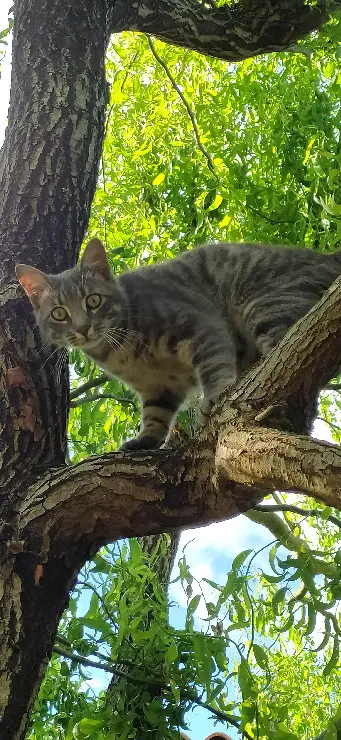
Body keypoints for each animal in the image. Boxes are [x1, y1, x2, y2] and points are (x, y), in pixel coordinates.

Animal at [15, 238, 340, 450]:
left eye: (93, 301)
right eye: (59, 313)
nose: (83, 328)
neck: (120, 352)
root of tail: (328, 256)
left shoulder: (202, 326)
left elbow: (215, 367)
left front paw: (216, 396)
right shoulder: (158, 386)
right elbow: (156, 414)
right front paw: (146, 439)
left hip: (265, 306)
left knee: (292, 357)